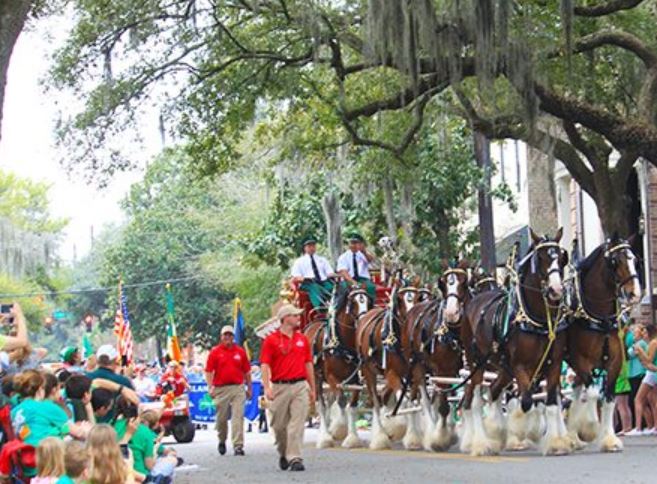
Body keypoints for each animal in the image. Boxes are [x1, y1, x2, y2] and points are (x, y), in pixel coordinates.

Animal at [304, 286, 372, 448]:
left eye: (367, 301)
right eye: (353, 303)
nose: (364, 320)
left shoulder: (356, 380)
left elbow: (352, 405)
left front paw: (351, 438)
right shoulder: (332, 377)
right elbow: (341, 401)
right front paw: (340, 429)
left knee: (328, 401)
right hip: (316, 377)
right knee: (321, 404)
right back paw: (324, 437)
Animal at [458, 229, 572, 456]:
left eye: (561, 257)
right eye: (541, 257)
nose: (556, 290)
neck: (537, 319)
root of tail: (472, 303)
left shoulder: (553, 364)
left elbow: (551, 403)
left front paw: (556, 443)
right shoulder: (520, 366)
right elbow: (526, 401)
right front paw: (526, 432)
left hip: (503, 368)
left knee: (493, 391)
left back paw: (494, 433)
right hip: (476, 363)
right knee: (474, 401)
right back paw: (481, 442)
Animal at [564, 235, 640, 454]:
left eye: (635, 259)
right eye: (615, 261)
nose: (635, 293)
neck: (601, 318)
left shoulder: (615, 361)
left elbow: (608, 398)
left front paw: (609, 439)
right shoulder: (580, 360)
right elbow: (593, 393)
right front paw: (591, 427)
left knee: (574, 391)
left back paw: (573, 436)